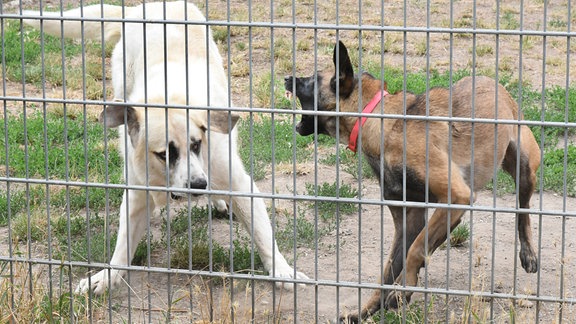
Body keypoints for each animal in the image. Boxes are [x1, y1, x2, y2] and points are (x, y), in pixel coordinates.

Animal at [24, 0, 308, 294]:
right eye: (164, 154)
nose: (198, 185)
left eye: (196, 145)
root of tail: (144, 8)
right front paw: (106, 276)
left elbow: (263, 235)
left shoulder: (239, 184)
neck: (169, 97)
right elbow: (122, 247)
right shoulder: (137, 193)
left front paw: (283, 271)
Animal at [286, 41, 544, 322]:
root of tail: (492, 81)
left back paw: (528, 253)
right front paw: (367, 310)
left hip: (525, 165)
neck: (377, 120)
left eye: (312, 79)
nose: (287, 78)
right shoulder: (409, 219)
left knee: (523, 210)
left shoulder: (456, 197)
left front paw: (403, 290)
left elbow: (416, 250)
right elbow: (389, 269)